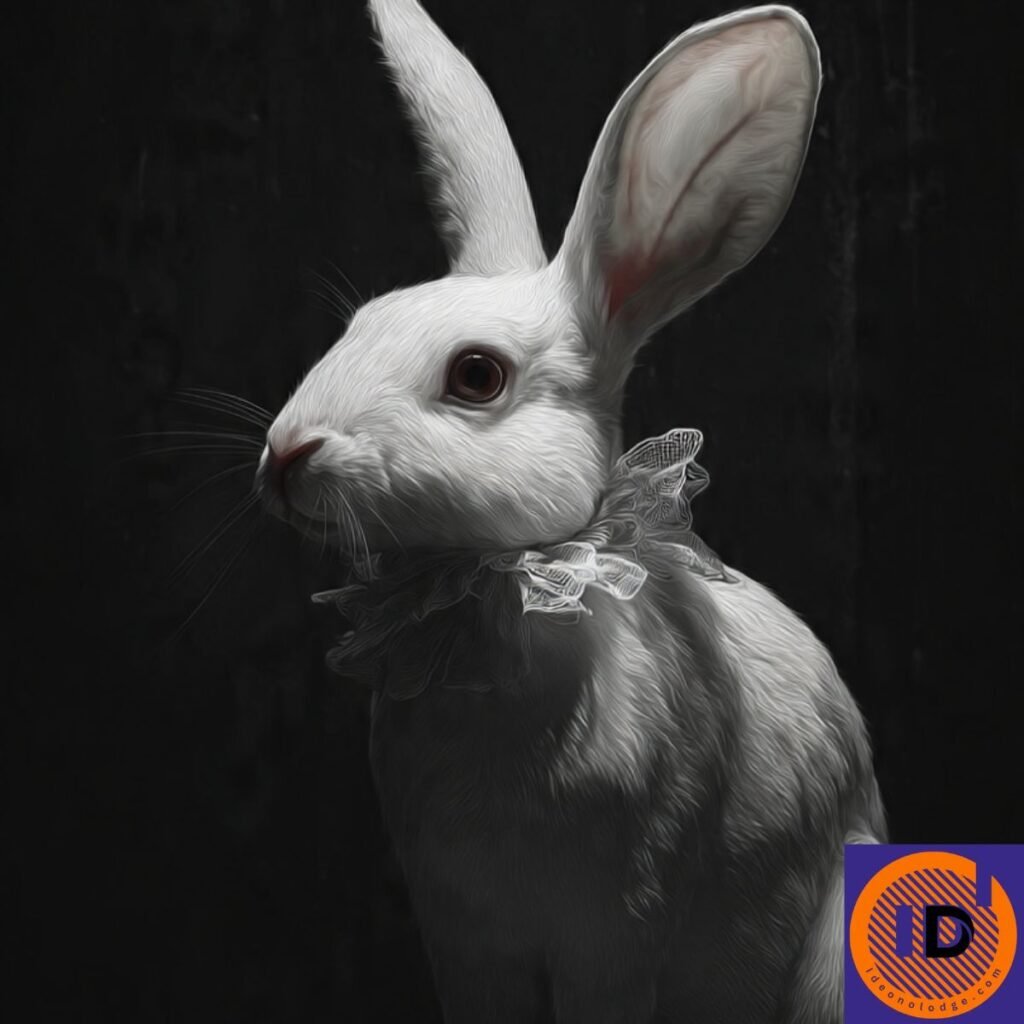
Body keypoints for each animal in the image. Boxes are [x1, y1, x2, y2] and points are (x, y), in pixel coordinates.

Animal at [254, 2, 887, 1022]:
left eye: (477, 376)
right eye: (361, 322)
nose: (286, 453)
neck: (507, 589)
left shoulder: (619, 925)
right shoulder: (466, 935)